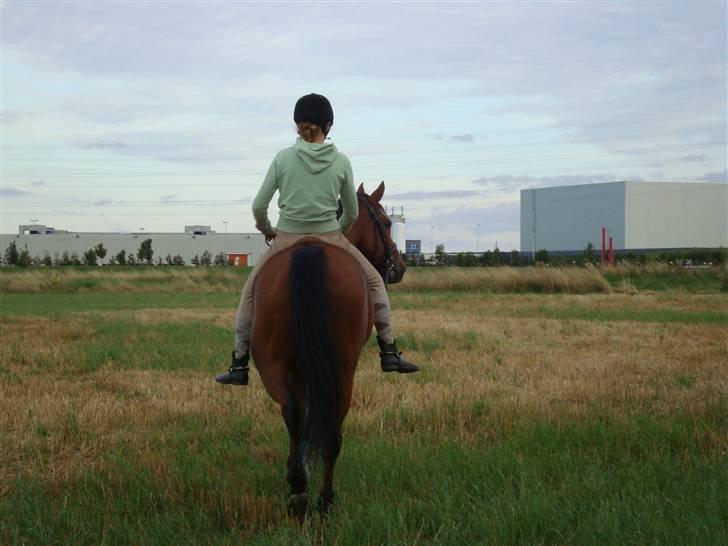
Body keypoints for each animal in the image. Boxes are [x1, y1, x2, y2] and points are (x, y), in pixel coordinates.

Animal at [249, 181, 404, 516]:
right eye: (387, 223)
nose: (399, 268)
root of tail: (310, 249)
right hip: (341, 370)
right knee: (329, 428)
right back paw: (324, 497)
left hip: (275, 365)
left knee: (294, 411)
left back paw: (298, 488)